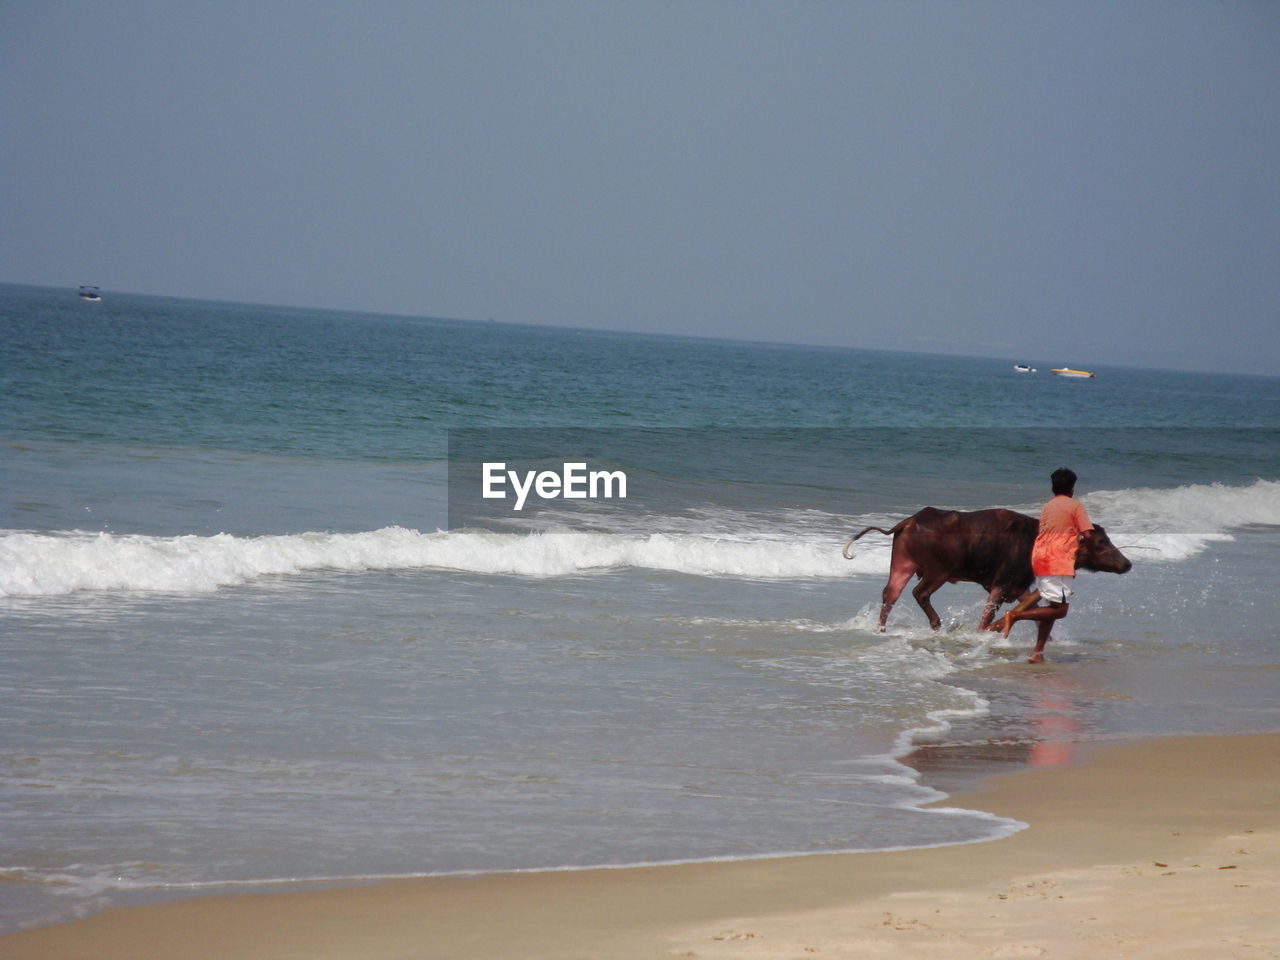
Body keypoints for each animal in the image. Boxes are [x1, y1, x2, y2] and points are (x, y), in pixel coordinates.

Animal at [849, 506, 1131, 634]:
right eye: (1101, 542)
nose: (1127, 564)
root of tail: (911, 521)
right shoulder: (1001, 585)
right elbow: (987, 616)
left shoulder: (1019, 586)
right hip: (937, 572)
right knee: (920, 593)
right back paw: (937, 624)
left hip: (902, 566)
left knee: (890, 595)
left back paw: (882, 629)